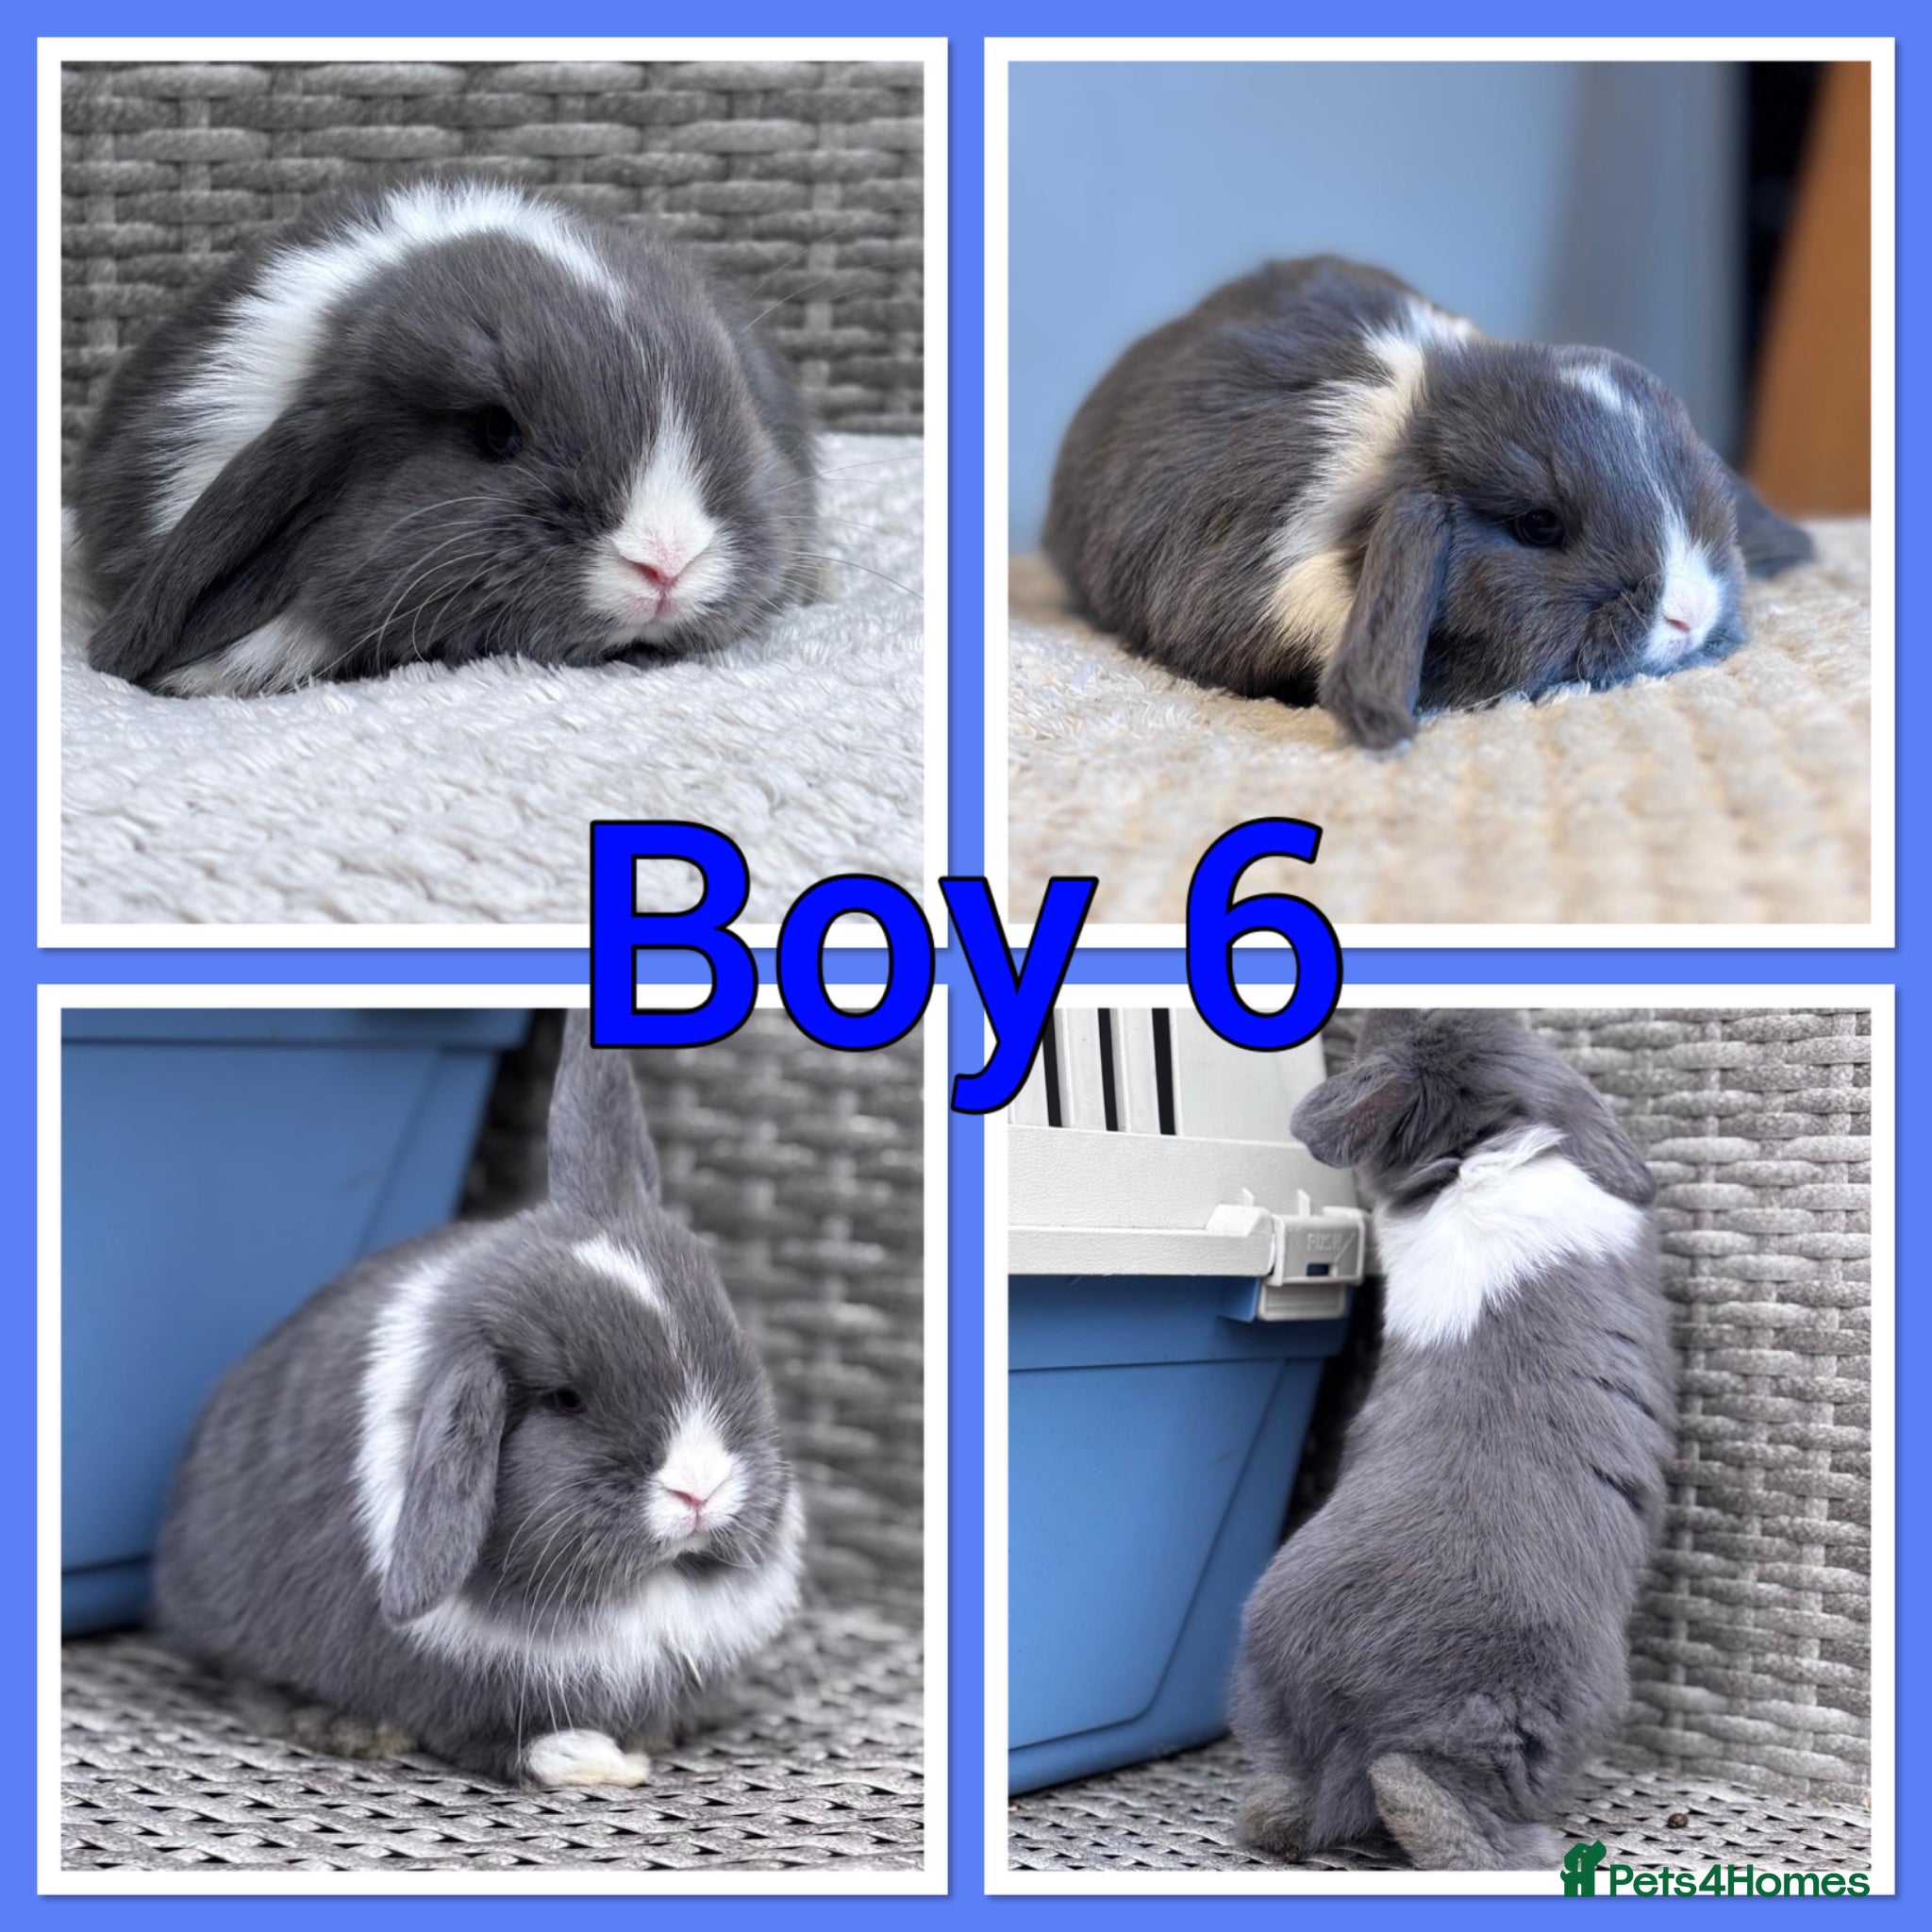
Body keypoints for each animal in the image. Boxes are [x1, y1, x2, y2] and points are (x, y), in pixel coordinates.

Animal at [152, 1011, 805, 1788]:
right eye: (565, 1400)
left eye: (730, 1338)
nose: (700, 1489)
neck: (642, 1589)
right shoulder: (456, 1688)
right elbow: (493, 1739)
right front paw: (593, 1761)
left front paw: (653, 1735)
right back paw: (346, 1728)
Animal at [1231, 1009, 1675, 1869]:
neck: (1475, 1158)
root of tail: (1353, 1705)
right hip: (1536, 1710)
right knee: (1428, 1788)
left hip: (1272, 1696)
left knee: (1292, 1794)